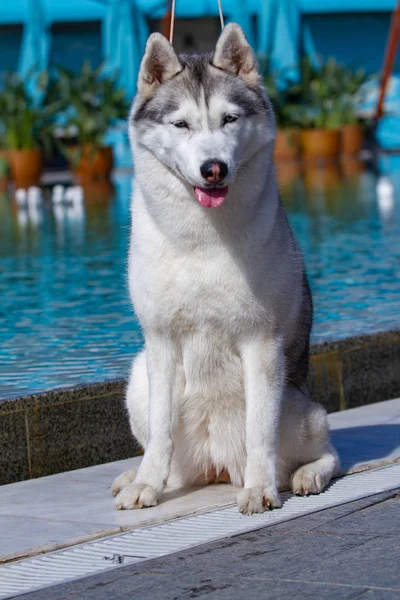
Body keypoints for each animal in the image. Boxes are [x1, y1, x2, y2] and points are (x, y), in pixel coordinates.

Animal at [111, 22, 340, 510]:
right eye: (181, 124)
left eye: (230, 119)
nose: (212, 168)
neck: (202, 238)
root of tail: (217, 467)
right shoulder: (160, 342)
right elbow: (159, 434)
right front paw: (146, 484)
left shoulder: (261, 342)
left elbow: (259, 433)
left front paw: (259, 489)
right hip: (137, 380)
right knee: (164, 449)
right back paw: (137, 475)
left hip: (300, 409)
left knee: (324, 449)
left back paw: (307, 474)